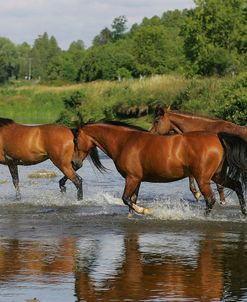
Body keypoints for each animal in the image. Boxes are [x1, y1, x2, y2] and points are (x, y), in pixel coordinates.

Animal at [75, 119, 247, 215]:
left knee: (210, 200)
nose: (75, 164)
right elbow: (131, 201)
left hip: (203, 179)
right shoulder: (137, 180)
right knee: (237, 185)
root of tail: (217, 137)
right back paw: (244, 212)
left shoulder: (132, 178)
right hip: (217, 175)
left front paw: (144, 210)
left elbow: (125, 199)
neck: (124, 142)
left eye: (75, 140)